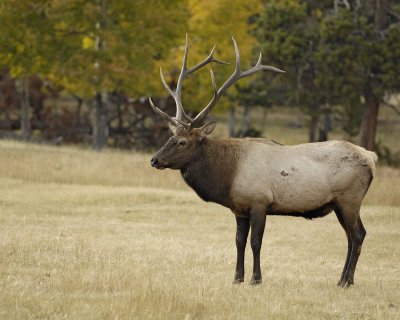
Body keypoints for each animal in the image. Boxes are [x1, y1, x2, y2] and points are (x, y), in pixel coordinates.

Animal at [149, 35, 378, 288]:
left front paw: (255, 279)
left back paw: (346, 280)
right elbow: (239, 241)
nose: (154, 159)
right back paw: (342, 279)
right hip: (339, 203)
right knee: (350, 236)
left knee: (358, 234)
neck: (228, 176)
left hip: (350, 198)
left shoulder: (259, 202)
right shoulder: (239, 209)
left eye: (181, 142)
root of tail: (371, 157)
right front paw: (237, 278)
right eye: (170, 136)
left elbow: (255, 242)